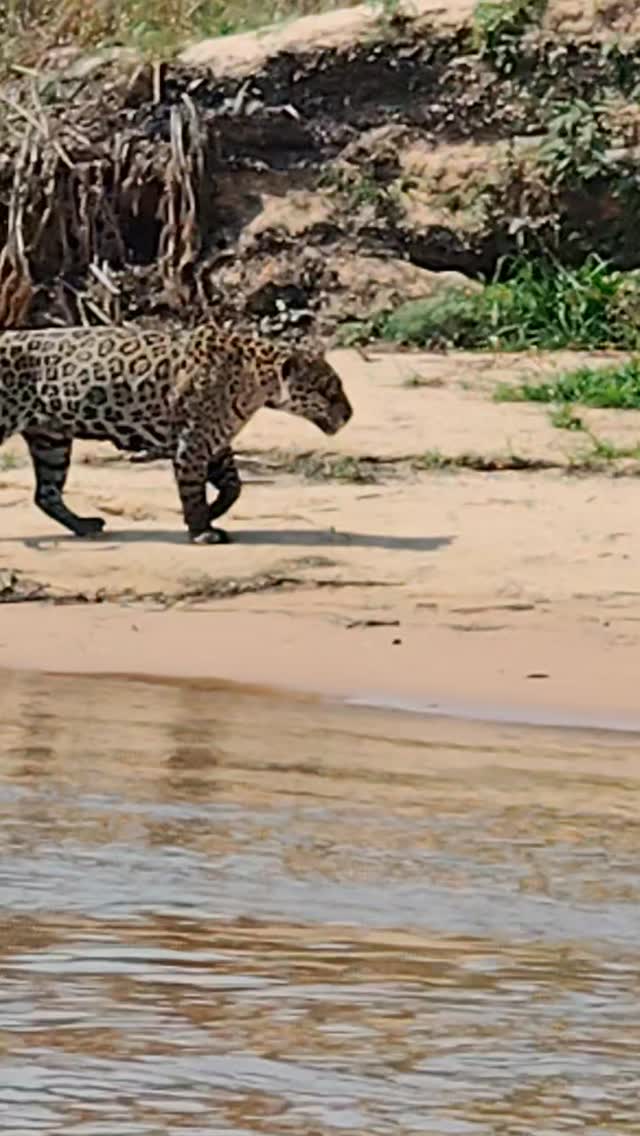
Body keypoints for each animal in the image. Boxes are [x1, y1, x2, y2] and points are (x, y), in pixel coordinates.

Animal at [0, 322, 352, 544]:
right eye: (328, 390)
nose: (349, 415)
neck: (256, 381)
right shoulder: (193, 443)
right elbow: (193, 491)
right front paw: (202, 531)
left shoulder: (216, 441)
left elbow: (234, 486)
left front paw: (213, 511)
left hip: (51, 439)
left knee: (46, 493)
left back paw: (84, 526)